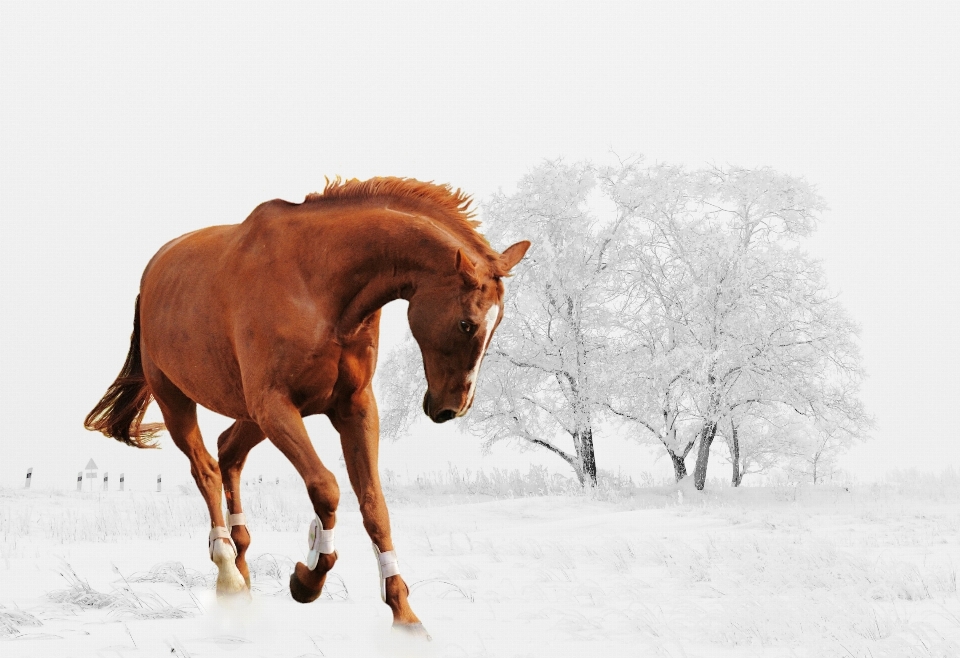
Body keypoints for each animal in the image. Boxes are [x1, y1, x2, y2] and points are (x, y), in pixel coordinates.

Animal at [83, 177, 532, 632]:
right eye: (467, 324)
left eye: (498, 322)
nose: (451, 408)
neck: (318, 285)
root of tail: (152, 273)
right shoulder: (275, 406)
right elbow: (326, 488)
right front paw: (307, 579)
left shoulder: (354, 408)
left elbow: (374, 505)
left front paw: (403, 614)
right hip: (178, 400)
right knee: (206, 469)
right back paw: (228, 573)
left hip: (250, 415)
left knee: (228, 452)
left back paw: (242, 568)